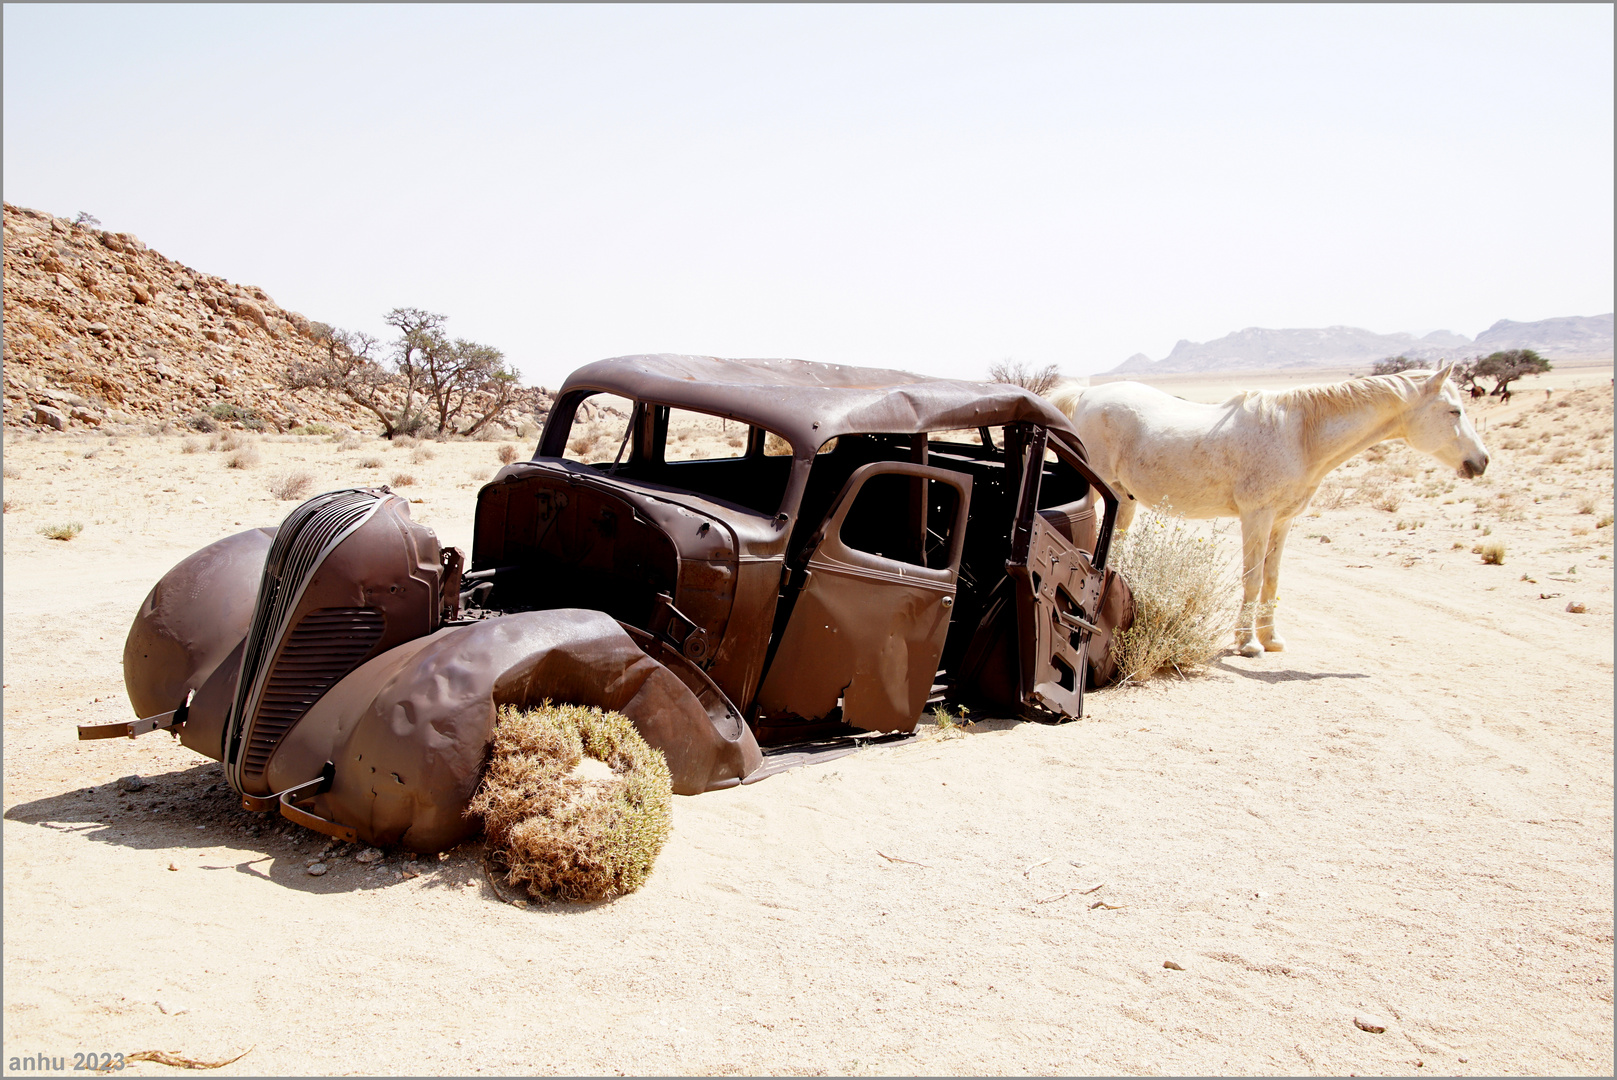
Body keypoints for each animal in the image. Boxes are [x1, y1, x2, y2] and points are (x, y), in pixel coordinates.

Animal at [1047, 367, 1487, 659]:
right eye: (1454, 411)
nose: (1481, 462)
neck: (1300, 435)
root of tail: (1084, 396)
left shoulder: (1282, 520)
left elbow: (1272, 580)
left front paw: (1271, 638)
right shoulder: (1256, 516)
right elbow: (1253, 578)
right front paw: (1248, 643)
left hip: (1126, 499)